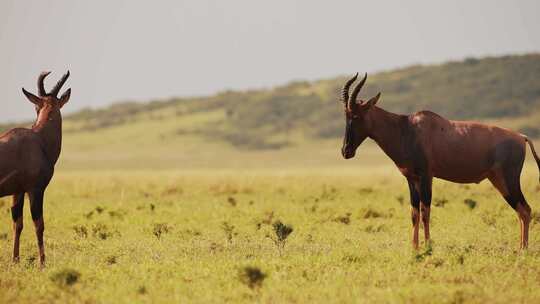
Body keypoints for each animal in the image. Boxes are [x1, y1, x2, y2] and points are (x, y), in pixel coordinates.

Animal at [0, 71, 71, 266]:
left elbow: (17, 224)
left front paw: (15, 260)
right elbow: (39, 224)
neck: (38, 139)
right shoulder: (35, 189)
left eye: (36, 107)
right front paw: (42, 263)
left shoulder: (18, 191)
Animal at [342, 73, 540, 249]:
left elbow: (425, 211)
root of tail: (521, 137)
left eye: (356, 116)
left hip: (509, 179)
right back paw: (520, 248)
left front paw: (428, 247)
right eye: (346, 115)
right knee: (520, 210)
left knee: (525, 209)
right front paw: (415, 248)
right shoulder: (411, 179)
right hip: (498, 180)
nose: (346, 151)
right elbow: (414, 212)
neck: (407, 128)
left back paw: (523, 250)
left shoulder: (426, 176)